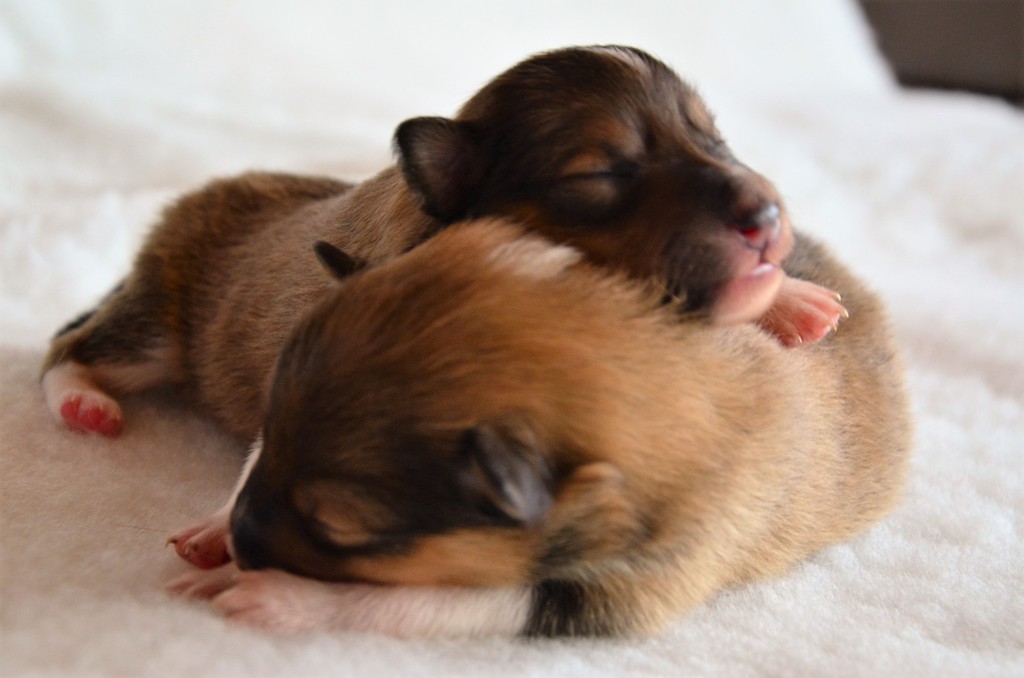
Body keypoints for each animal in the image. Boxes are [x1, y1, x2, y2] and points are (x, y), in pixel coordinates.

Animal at [164, 218, 910, 637]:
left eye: (335, 527)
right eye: (268, 425)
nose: (241, 540)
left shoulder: (650, 574)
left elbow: (421, 600)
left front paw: (277, 597)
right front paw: (216, 526)